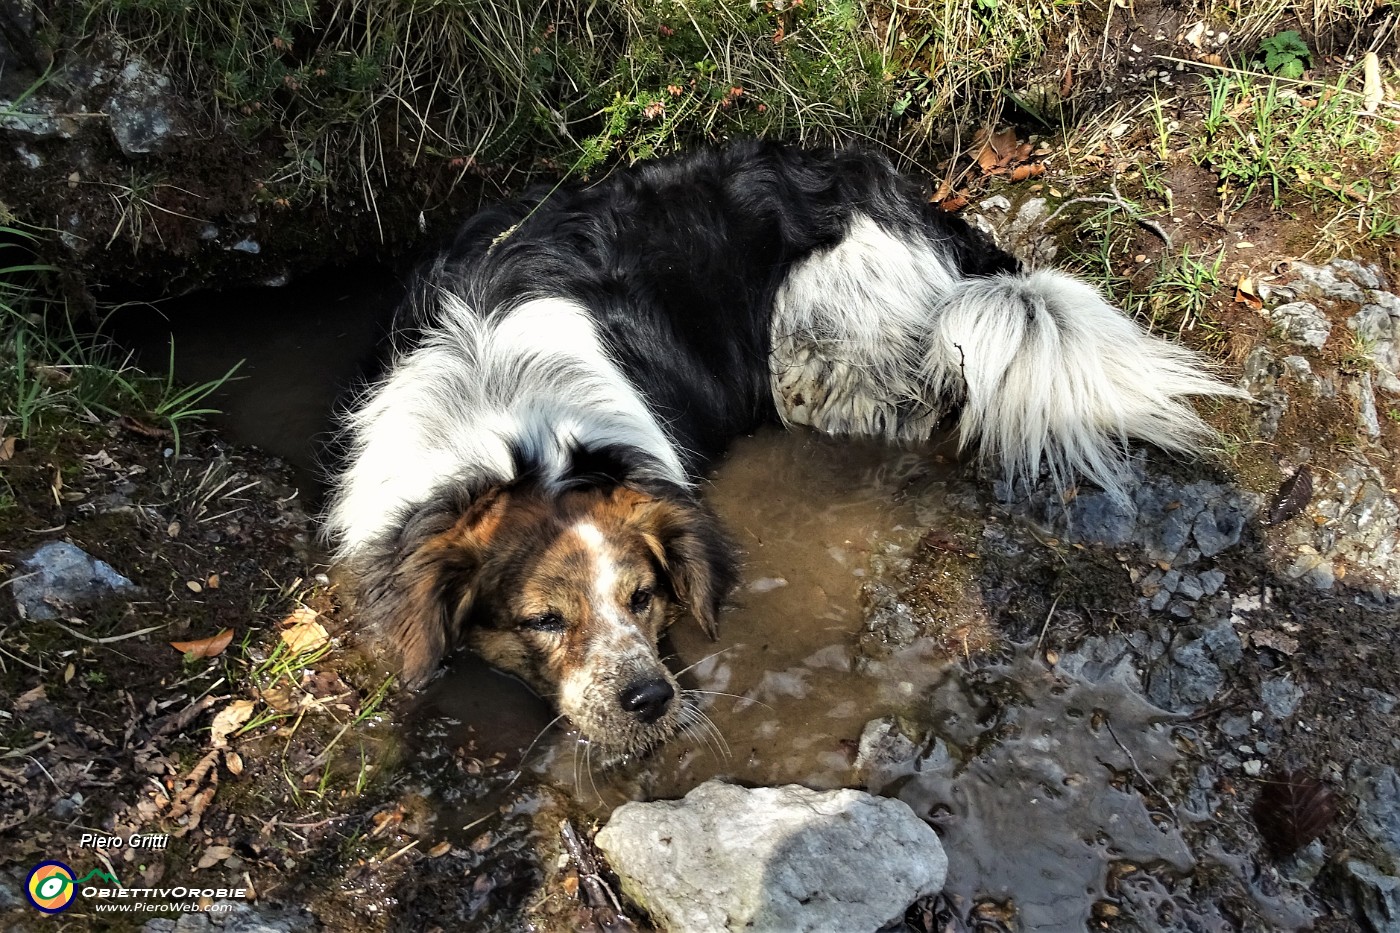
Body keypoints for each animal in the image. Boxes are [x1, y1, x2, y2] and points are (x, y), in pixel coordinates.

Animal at [322, 140, 1243, 762]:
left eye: (644, 596)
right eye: (542, 620)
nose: (649, 698)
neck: (517, 430)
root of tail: (915, 209)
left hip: (821, 342)